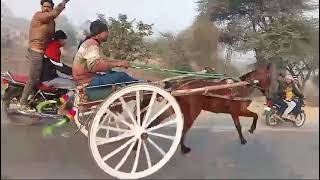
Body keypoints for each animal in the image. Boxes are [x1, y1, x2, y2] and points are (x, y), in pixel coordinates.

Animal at [148, 63, 276, 153]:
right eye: (269, 78)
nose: (270, 96)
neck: (241, 87)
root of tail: (181, 86)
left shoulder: (234, 112)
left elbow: (239, 125)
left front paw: (243, 138)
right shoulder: (239, 110)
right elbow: (254, 116)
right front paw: (250, 130)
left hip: (175, 107)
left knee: (159, 119)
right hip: (193, 112)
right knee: (183, 129)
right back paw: (183, 148)